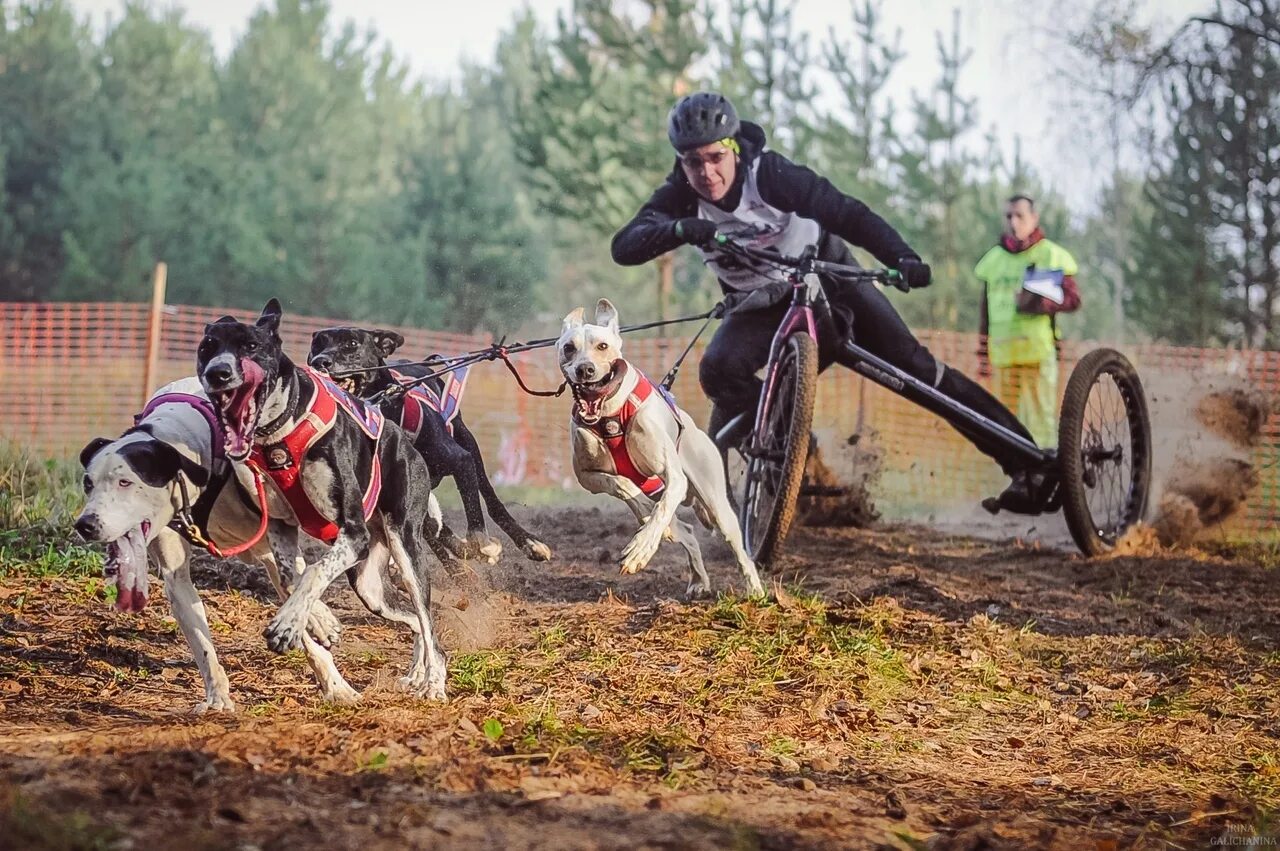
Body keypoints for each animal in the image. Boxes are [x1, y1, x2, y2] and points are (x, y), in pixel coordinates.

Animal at [73, 376, 345, 711]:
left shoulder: (275, 543)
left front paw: (337, 685)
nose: (85, 525)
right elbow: (202, 644)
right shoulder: (176, 577)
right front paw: (218, 697)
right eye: (88, 483)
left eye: (126, 482)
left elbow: (300, 596)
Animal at [192, 302, 448, 701]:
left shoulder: (353, 534)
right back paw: (419, 671)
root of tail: (406, 442)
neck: (281, 430)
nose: (218, 373)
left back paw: (434, 682)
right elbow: (293, 575)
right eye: (207, 346)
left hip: (405, 546)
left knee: (427, 618)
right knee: (415, 621)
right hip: (369, 587)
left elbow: (313, 571)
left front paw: (285, 625)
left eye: (251, 346)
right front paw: (314, 620)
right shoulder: (281, 528)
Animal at [311, 325, 555, 563]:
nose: (319, 362)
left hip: (467, 441)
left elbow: (473, 511)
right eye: (317, 345)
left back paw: (528, 542)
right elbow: (428, 527)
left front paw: (480, 543)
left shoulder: (461, 459)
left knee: (489, 497)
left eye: (351, 343)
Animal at [558, 298, 757, 596]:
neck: (610, 415)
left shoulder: (674, 477)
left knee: (739, 548)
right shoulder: (587, 476)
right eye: (569, 348)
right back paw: (698, 579)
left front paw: (639, 550)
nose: (585, 369)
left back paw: (756, 589)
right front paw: (642, 510)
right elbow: (623, 485)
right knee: (686, 531)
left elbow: (660, 511)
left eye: (602, 346)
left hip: (716, 503)